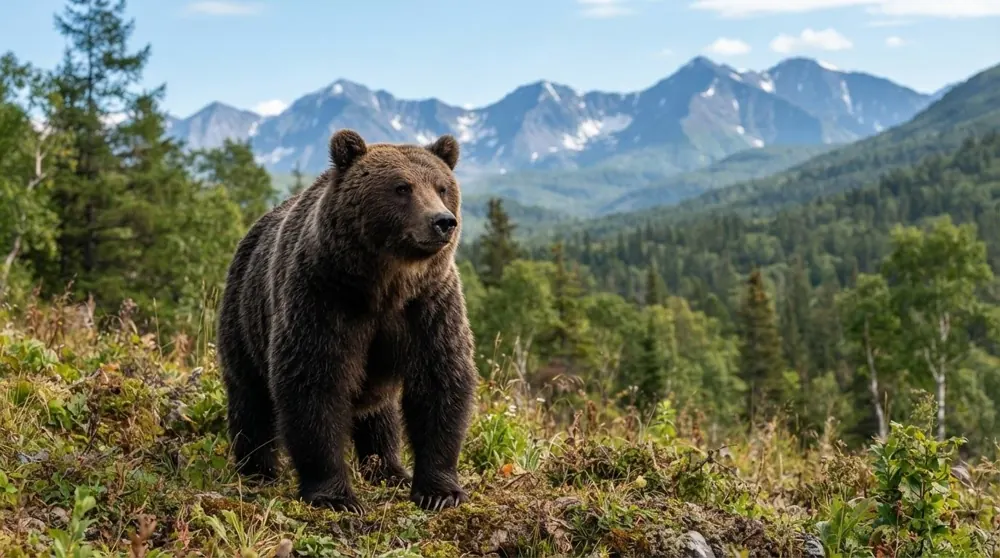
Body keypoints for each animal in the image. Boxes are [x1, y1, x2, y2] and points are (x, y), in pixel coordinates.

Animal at [215, 128, 478, 514]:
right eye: (402, 187)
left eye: (442, 187)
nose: (443, 221)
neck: (385, 286)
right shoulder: (324, 298)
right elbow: (315, 384)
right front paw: (335, 495)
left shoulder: (428, 307)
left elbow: (440, 381)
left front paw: (439, 491)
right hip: (244, 315)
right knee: (250, 396)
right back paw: (257, 469)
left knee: (380, 414)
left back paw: (388, 469)